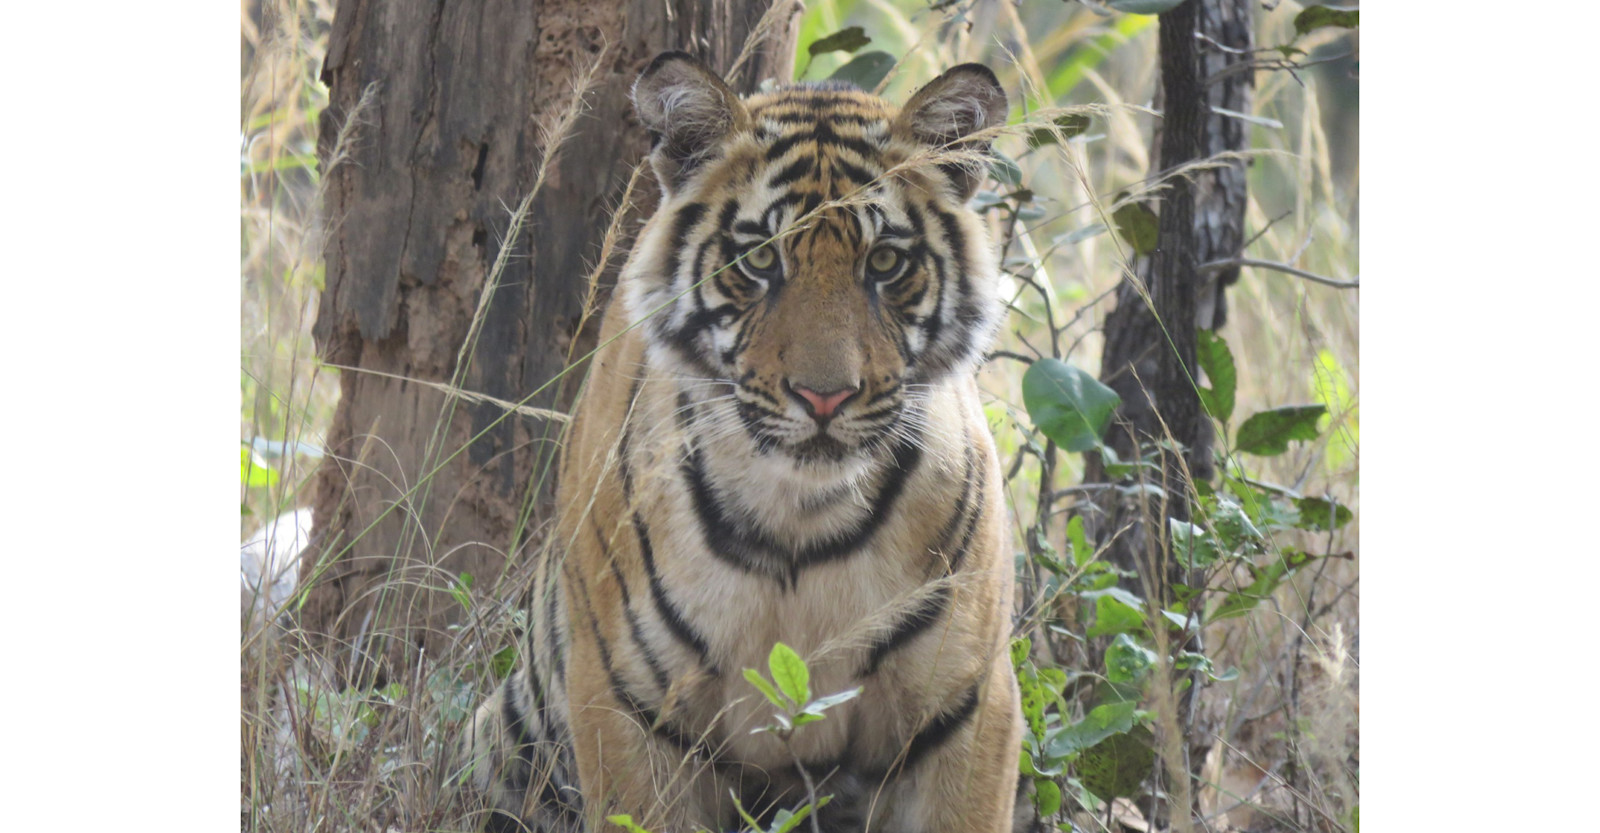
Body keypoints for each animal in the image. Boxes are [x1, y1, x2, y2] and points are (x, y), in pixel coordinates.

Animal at [464, 51, 1030, 831]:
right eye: (760, 258)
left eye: (885, 263)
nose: (825, 395)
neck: (802, 513)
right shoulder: (628, 707)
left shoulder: (965, 709)